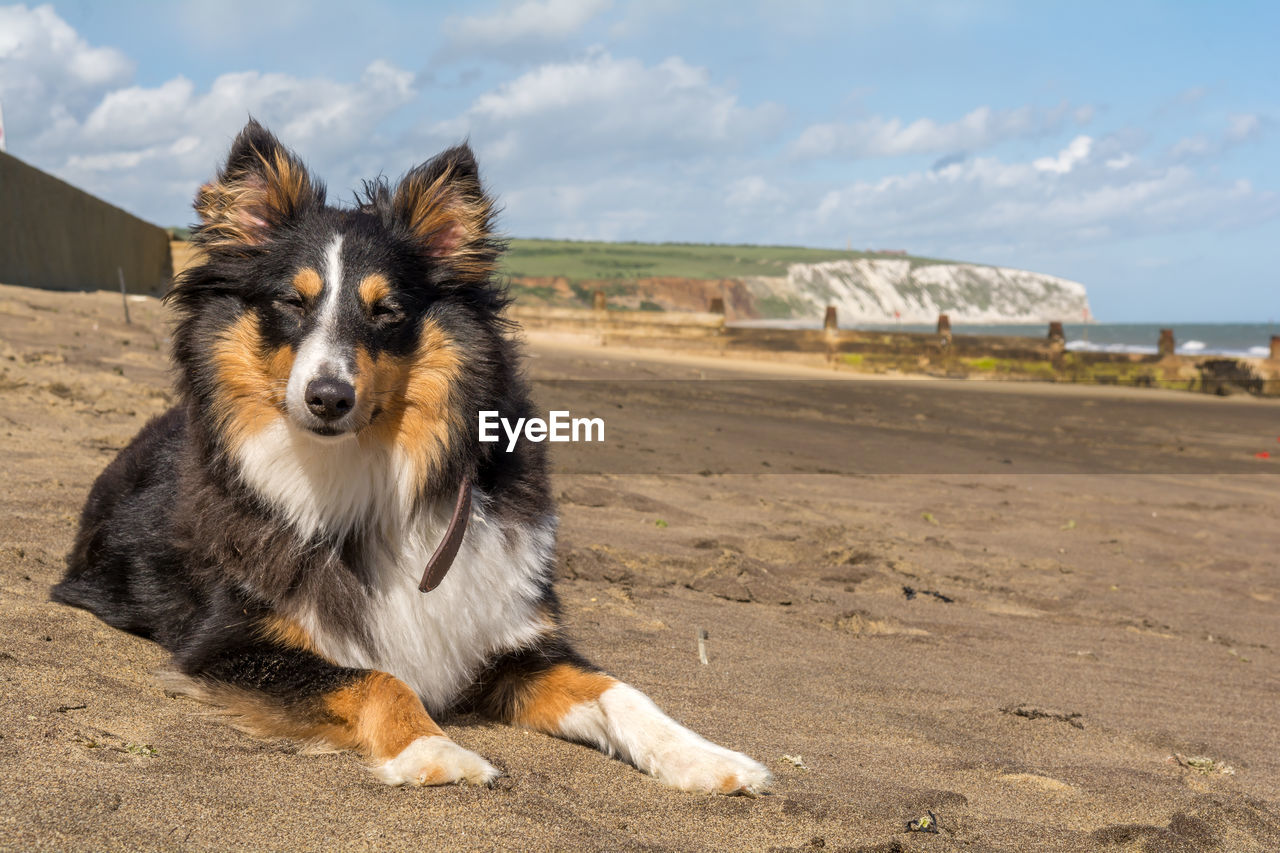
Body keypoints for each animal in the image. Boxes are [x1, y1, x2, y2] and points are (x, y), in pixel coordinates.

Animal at [49, 117, 768, 788]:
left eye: (387, 310)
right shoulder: (229, 643)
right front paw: (434, 749)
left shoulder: (506, 636)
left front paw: (705, 757)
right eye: (291, 301)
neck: (366, 474)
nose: (327, 397)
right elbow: (377, 677)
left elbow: (621, 691)